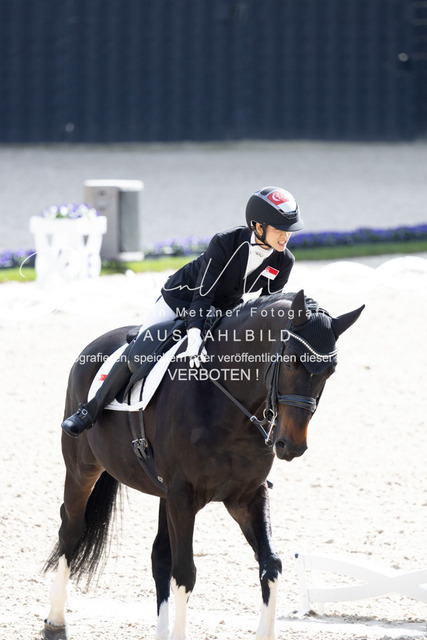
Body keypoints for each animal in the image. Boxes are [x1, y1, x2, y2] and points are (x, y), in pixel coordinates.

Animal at [42, 290, 364, 640]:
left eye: (330, 370)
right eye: (291, 361)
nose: (291, 445)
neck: (229, 404)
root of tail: (95, 344)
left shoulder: (246, 497)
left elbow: (271, 565)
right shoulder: (184, 497)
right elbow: (185, 573)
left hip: (163, 494)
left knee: (159, 555)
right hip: (82, 469)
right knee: (71, 528)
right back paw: (55, 621)